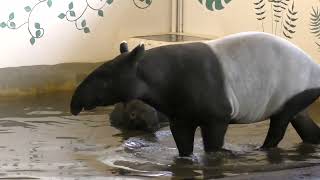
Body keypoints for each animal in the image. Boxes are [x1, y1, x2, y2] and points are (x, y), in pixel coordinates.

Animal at [71, 32, 320, 156]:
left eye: (104, 79)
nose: (74, 106)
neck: (160, 75)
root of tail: (315, 67)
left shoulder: (217, 115)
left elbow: (212, 145)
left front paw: (220, 154)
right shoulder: (179, 115)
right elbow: (183, 144)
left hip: (293, 87)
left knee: (280, 124)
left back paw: (261, 150)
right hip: (298, 93)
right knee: (301, 120)